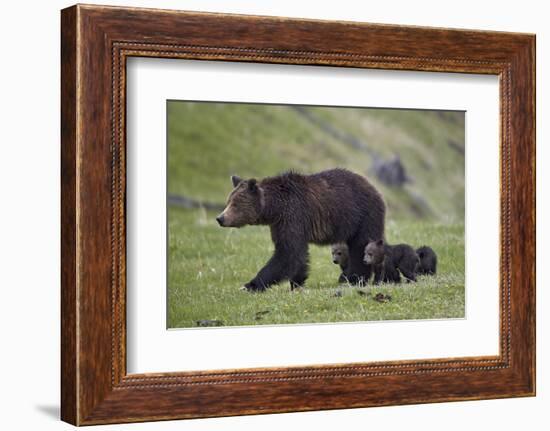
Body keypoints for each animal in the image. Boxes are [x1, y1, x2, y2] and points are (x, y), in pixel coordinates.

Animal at [218, 167, 386, 292]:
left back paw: (355, 278)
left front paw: (250, 285)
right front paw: (297, 282)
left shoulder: (293, 215)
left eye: (235, 204)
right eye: (228, 201)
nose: (220, 218)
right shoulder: (280, 223)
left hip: (362, 215)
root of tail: (374, 188)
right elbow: (296, 254)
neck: (275, 208)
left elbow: (287, 254)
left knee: (360, 247)